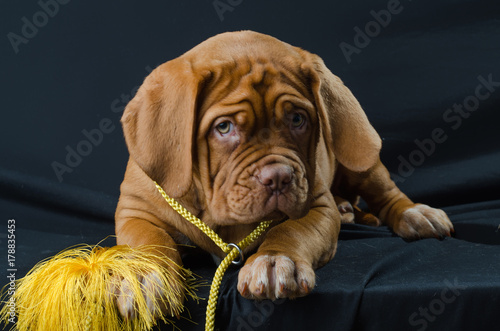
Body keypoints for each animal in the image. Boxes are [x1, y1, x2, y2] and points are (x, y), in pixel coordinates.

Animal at [115, 30, 456, 320]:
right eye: (224, 127)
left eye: (297, 119)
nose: (279, 177)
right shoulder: (135, 211)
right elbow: (149, 242)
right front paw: (146, 277)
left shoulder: (317, 204)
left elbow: (293, 230)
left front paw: (275, 260)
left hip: (360, 161)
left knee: (384, 192)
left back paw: (414, 213)